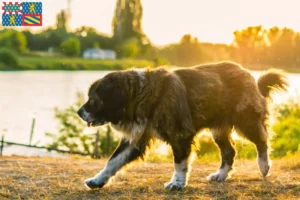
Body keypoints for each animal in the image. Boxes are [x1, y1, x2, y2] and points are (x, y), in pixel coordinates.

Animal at [76, 61, 288, 190]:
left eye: (93, 100)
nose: (79, 112)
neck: (142, 95)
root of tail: (248, 75)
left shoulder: (180, 135)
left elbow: (179, 162)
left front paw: (177, 183)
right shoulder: (136, 140)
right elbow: (113, 161)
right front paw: (97, 180)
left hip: (246, 121)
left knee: (262, 140)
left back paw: (264, 166)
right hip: (219, 130)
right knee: (229, 152)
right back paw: (220, 175)